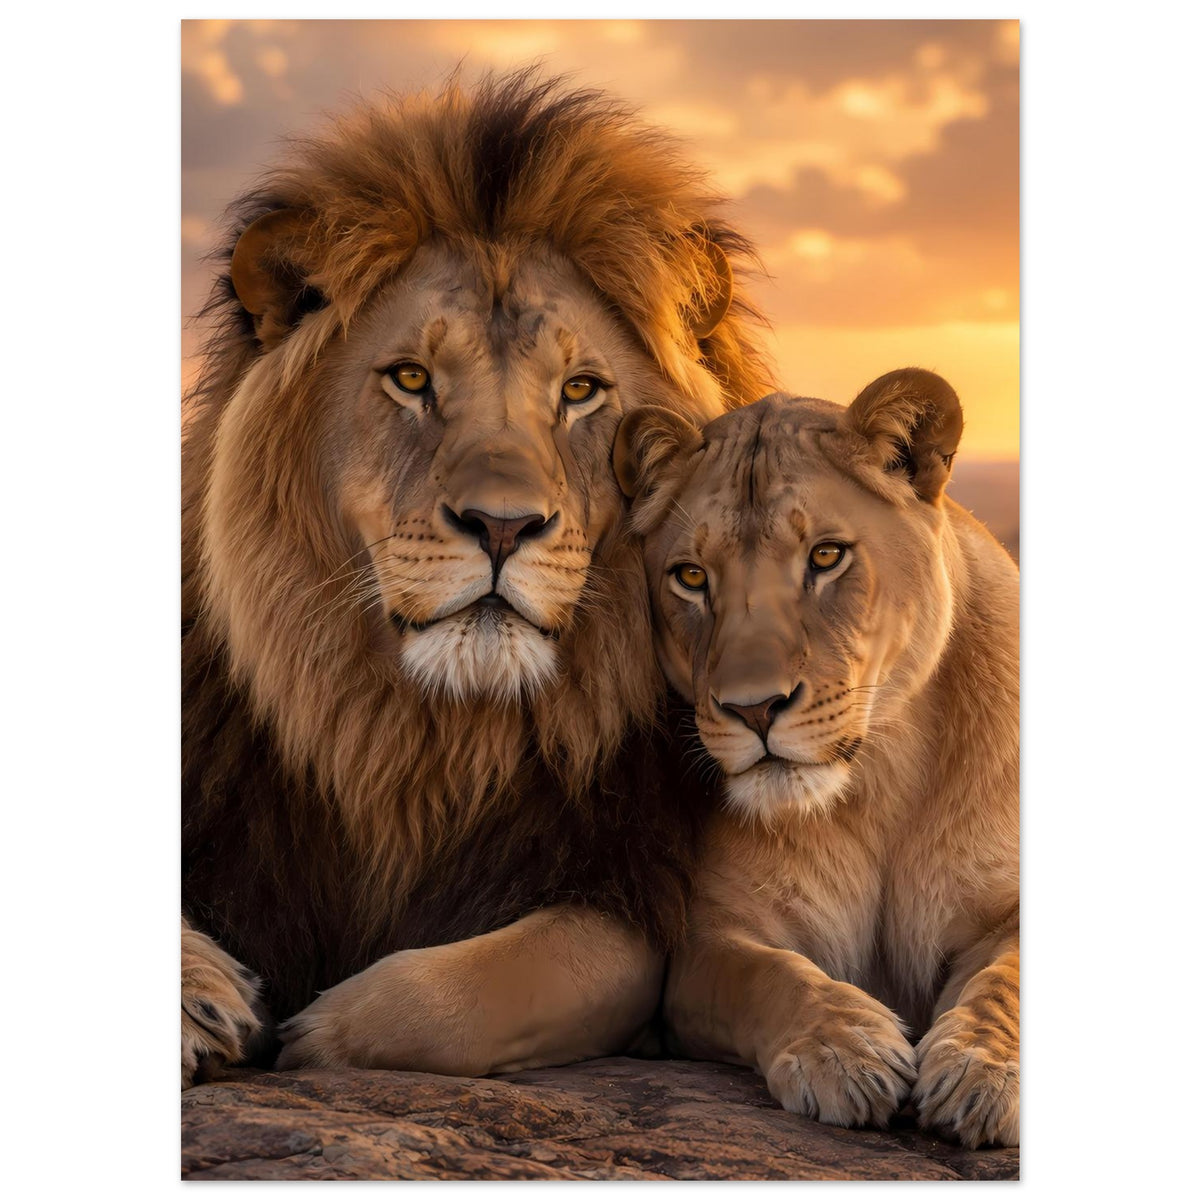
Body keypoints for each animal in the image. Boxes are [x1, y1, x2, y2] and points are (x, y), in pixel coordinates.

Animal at [181, 70, 773, 1088]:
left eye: (580, 391)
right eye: (412, 379)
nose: (503, 526)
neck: (417, 746)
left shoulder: (625, 888)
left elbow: (467, 994)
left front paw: (312, 1032)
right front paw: (203, 1000)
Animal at [612, 369, 1019, 1148]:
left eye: (827, 557)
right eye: (690, 577)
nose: (753, 709)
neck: (880, 779)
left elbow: (1005, 978)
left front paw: (982, 1070)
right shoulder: (706, 942)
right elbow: (770, 977)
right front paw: (845, 1051)